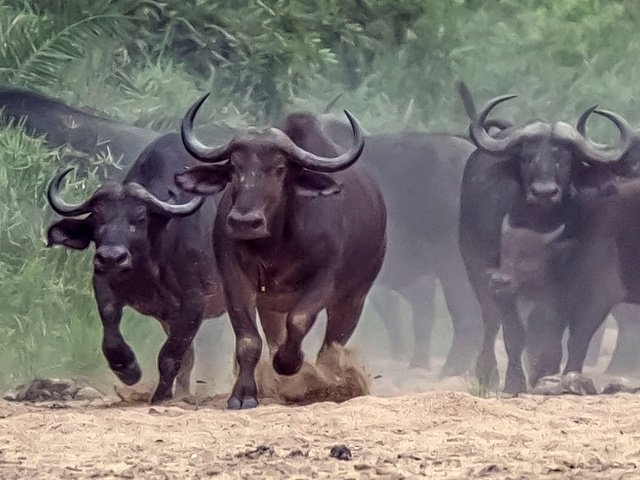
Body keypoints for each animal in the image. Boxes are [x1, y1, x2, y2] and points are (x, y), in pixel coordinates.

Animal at [45, 131, 225, 402]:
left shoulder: (195, 302)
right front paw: (129, 370)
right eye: (97, 219)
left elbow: (171, 355)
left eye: (139, 218)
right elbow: (111, 336)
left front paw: (161, 394)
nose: (111, 257)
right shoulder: (105, 286)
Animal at [175, 96, 384, 408]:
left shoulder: (326, 279)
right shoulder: (235, 278)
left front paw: (290, 364)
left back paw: (330, 382)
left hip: (353, 298)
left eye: (279, 169)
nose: (244, 221)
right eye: (234, 168)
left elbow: (298, 320)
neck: (276, 244)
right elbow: (249, 340)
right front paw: (244, 394)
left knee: (331, 346)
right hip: (271, 305)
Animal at [460, 94, 632, 394]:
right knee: (491, 321)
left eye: (564, 159)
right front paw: (515, 382)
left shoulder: (566, 287)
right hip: (475, 270)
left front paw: (548, 374)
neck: (538, 223)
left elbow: (551, 335)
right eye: (527, 157)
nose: (544, 192)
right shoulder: (503, 281)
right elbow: (514, 334)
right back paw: (487, 374)